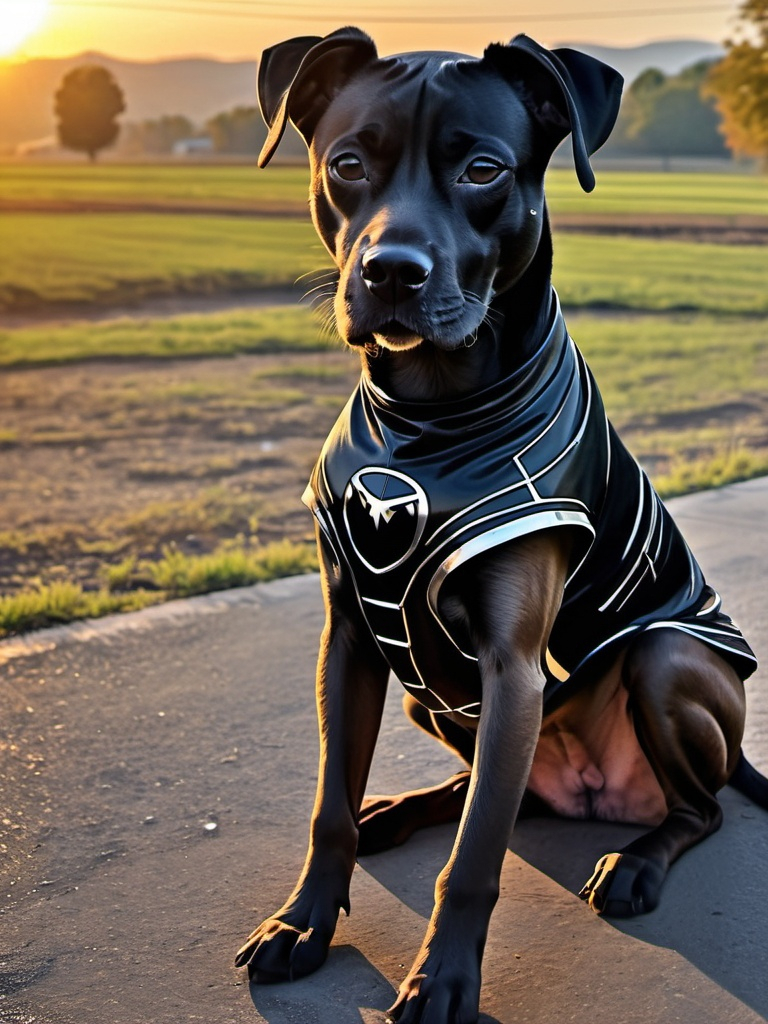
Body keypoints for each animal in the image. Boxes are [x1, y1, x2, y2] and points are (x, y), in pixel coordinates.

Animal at [237, 28, 765, 1019]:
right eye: (348, 164)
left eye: (483, 168)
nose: (391, 272)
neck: (429, 416)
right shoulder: (349, 640)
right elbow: (331, 807)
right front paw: (303, 922)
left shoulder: (512, 667)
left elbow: (475, 858)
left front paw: (443, 978)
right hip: (428, 693)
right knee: (494, 793)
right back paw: (399, 810)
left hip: (665, 659)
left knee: (697, 807)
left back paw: (636, 864)